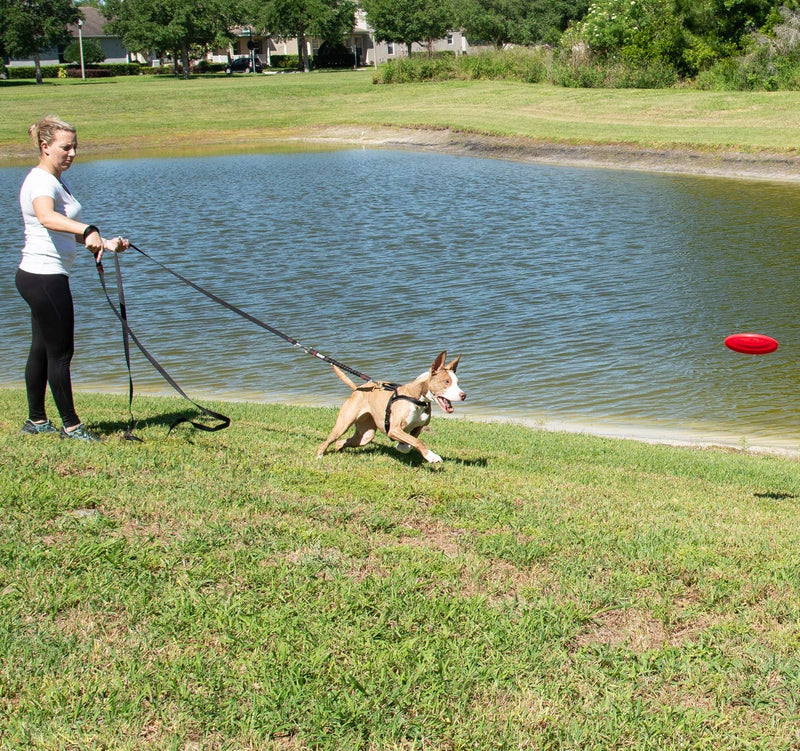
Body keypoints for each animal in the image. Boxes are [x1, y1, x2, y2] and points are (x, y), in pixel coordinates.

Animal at [318, 352, 468, 464]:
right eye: (446, 382)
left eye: (457, 382)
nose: (463, 395)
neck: (417, 399)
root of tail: (358, 389)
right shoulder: (394, 429)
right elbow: (418, 441)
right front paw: (432, 456)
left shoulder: (418, 427)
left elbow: (410, 442)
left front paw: (402, 447)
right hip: (343, 424)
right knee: (328, 440)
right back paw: (319, 456)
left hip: (365, 435)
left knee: (343, 442)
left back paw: (339, 450)